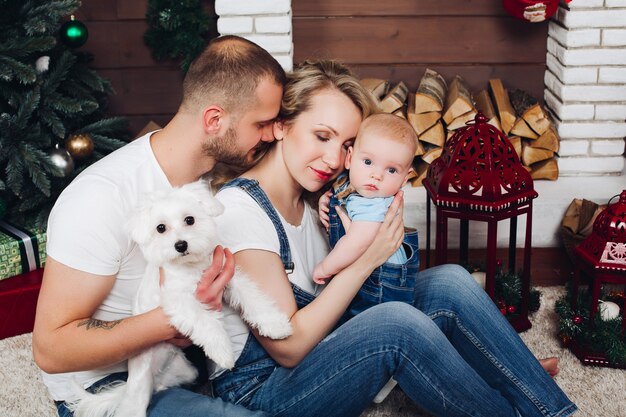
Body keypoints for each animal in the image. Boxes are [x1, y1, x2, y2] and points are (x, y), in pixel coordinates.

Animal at [67, 181, 292, 416]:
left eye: (189, 220)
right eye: (160, 228)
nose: (181, 245)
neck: (192, 267)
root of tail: (152, 380)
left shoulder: (229, 279)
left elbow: (253, 298)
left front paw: (274, 324)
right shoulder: (179, 300)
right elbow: (206, 322)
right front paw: (222, 351)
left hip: (186, 371)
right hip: (138, 395)